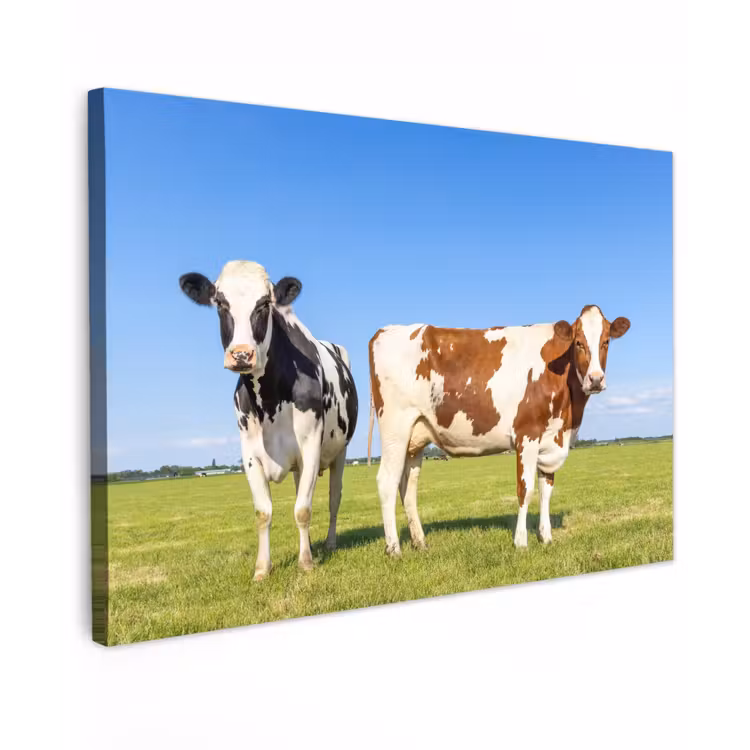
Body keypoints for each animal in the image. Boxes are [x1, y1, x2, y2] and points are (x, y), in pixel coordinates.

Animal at [179, 261, 358, 580]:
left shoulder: (311, 446)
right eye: (220, 303)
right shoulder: (250, 454)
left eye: (264, 304)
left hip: (340, 451)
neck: (270, 399)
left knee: (333, 498)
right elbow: (264, 512)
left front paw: (306, 562)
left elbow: (303, 509)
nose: (241, 354)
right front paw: (262, 568)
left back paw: (328, 543)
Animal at [367, 305, 630, 556]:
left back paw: (420, 542)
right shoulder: (527, 434)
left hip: (415, 436)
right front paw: (521, 542)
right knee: (386, 482)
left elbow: (546, 490)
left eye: (606, 341)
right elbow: (526, 489)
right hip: (395, 429)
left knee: (408, 487)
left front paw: (546, 537)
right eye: (578, 343)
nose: (595, 379)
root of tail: (385, 330)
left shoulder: (552, 439)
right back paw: (394, 548)